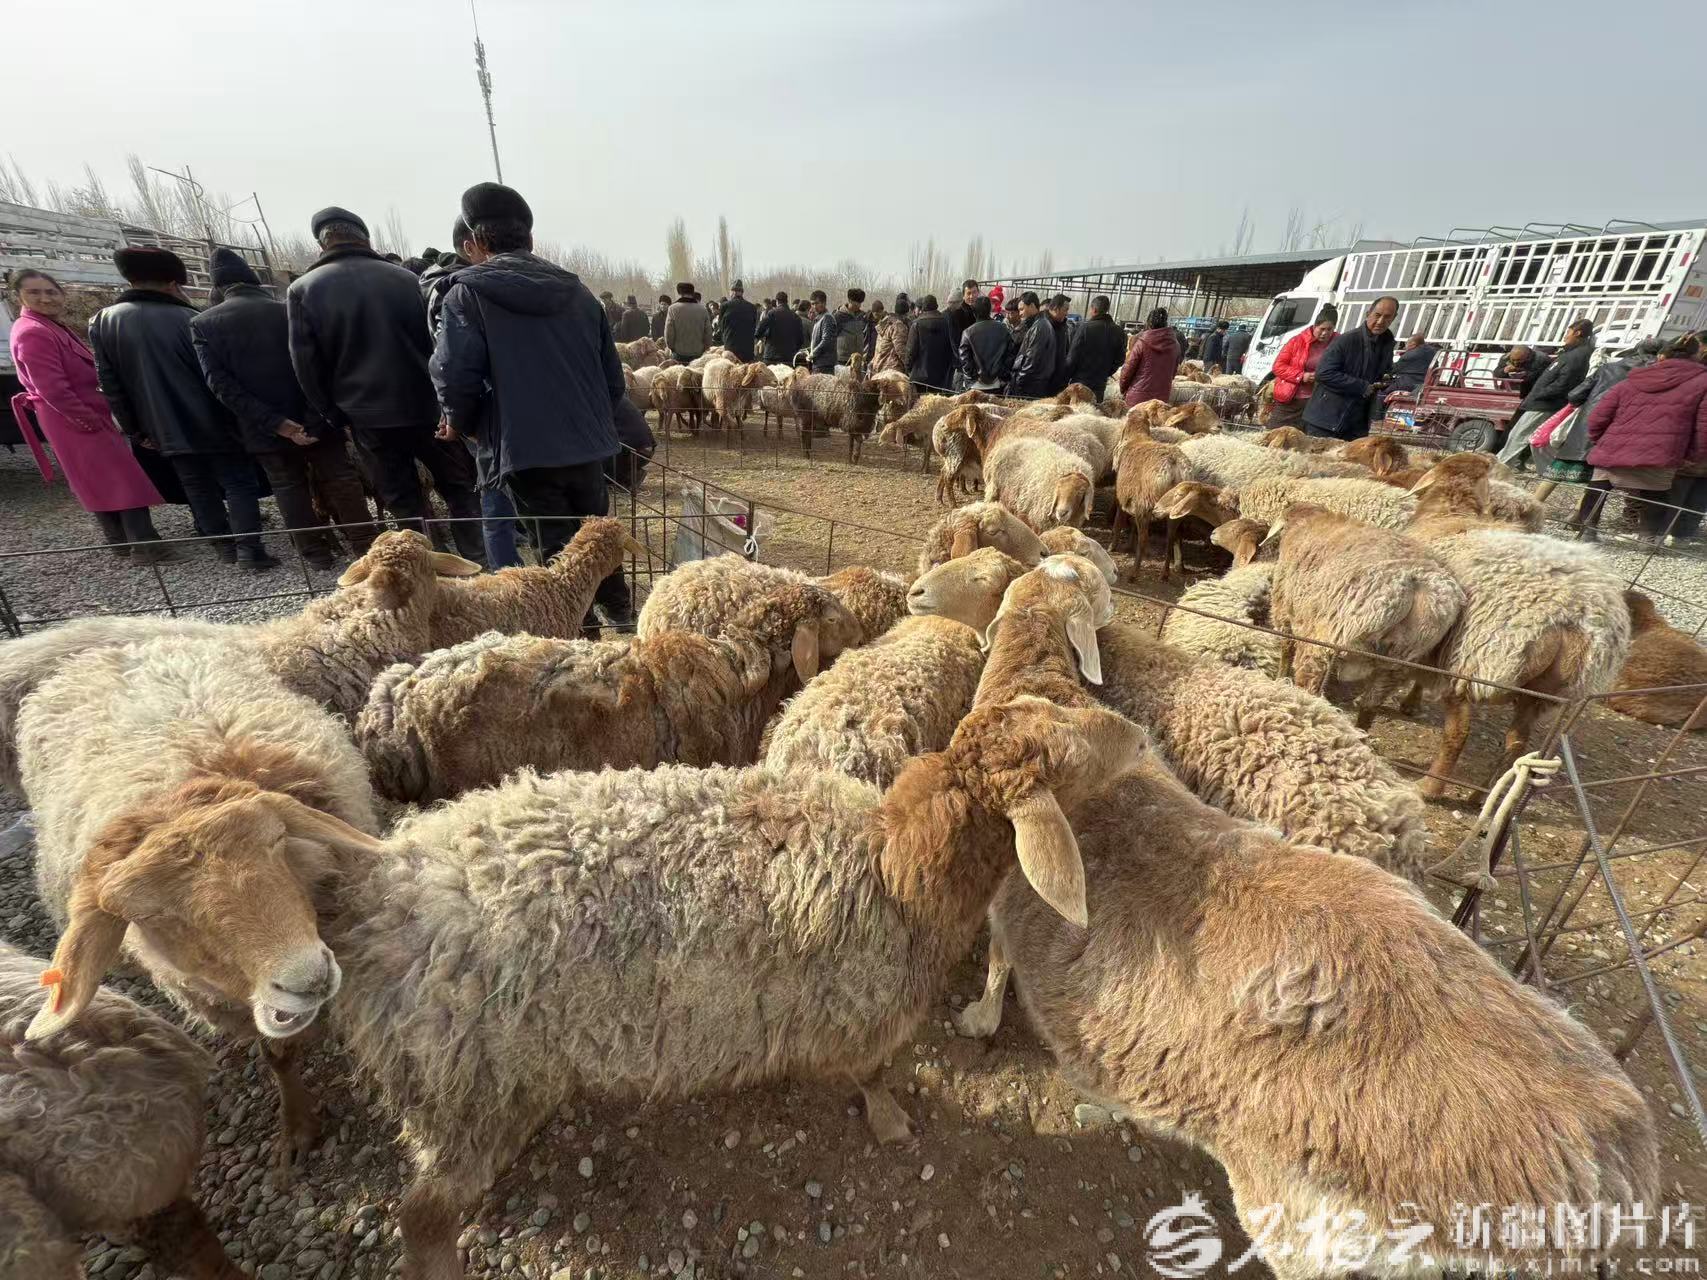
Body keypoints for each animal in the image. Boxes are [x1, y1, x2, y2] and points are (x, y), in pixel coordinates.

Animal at [18, 633, 379, 1176]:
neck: (168, 796)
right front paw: (296, 1126)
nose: (308, 977)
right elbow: (277, 1055)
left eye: (276, 841)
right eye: (148, 915)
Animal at [228, 691, 1144, 1277]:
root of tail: (377, 905)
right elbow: (874, 1075)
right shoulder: (863, 1005)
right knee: (419, 1217)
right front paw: (889, 1120)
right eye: (1063, 762)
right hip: (464, 1081)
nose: (1137, 734)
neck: (895, 866)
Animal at [1267, 503, 1467, 725]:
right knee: (1370, 705)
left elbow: (1286, 647)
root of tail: (1414, 583)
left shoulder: (1283, 607)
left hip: (1325, 641)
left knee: (1310, 684)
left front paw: (1280, 678)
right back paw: (1362, 729)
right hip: (1398, 663)